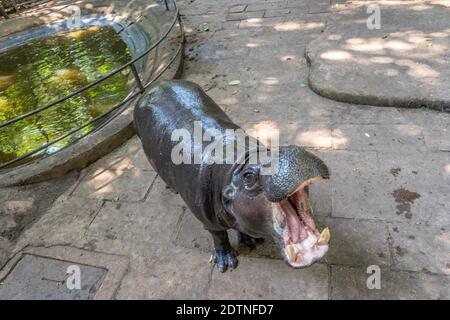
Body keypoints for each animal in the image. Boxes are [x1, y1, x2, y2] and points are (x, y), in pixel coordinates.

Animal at [134, 80, 330, 272]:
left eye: (274, 149)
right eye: (249, 177)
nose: (293, 151)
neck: (238, 164)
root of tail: (154, 86)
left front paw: (250, 239)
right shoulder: (208, 220)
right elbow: (219, 236)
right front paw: (225, 262)